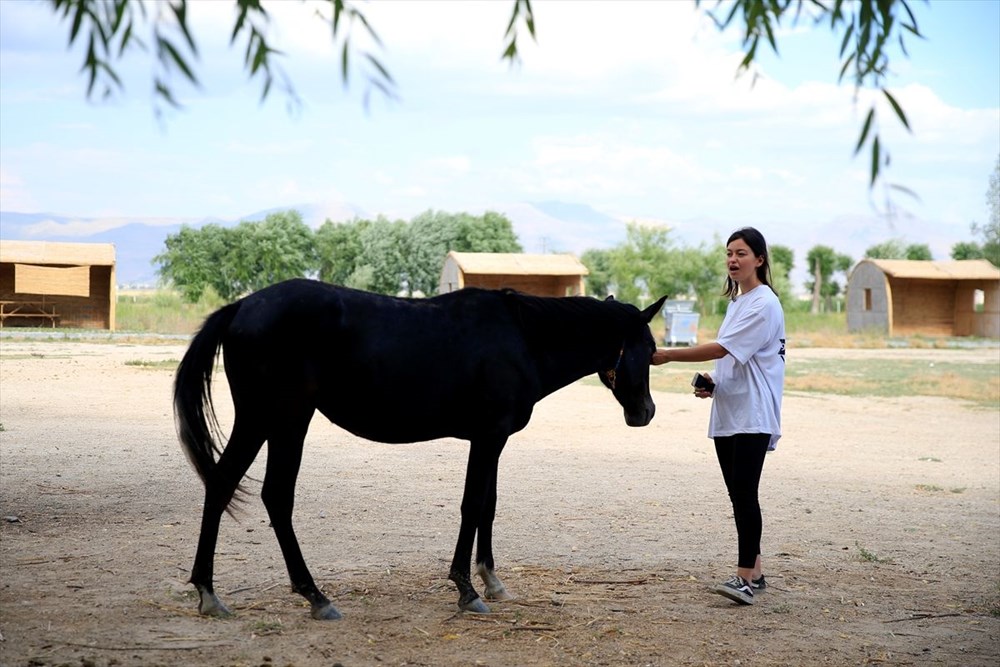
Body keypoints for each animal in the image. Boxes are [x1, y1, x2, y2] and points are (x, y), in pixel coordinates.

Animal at [176, 278, 668, 620]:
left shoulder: (494, 440)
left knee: (223, 485)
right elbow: (472, 505)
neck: (521, 337)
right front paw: (467, 591)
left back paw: (210, 593)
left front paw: (492, 580)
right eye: (646, 348)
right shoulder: (488, 437)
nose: (645, 412)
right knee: (273, 495)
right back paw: (314, 596)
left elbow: (489, 504)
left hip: (266, 422)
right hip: (283, 420)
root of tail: (242, 306)